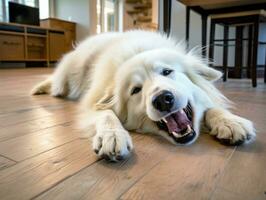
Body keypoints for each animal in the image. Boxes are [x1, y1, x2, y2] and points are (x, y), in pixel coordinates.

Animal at [31, 30, 256, 161]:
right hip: (69, 76)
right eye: (135, 90)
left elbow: (212, 107)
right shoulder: (92, 103)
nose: (163, 99)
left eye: (167, 71)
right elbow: (106, 114)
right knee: (55, 82)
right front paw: (113, 135)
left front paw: (230, 122)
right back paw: (39, 88)